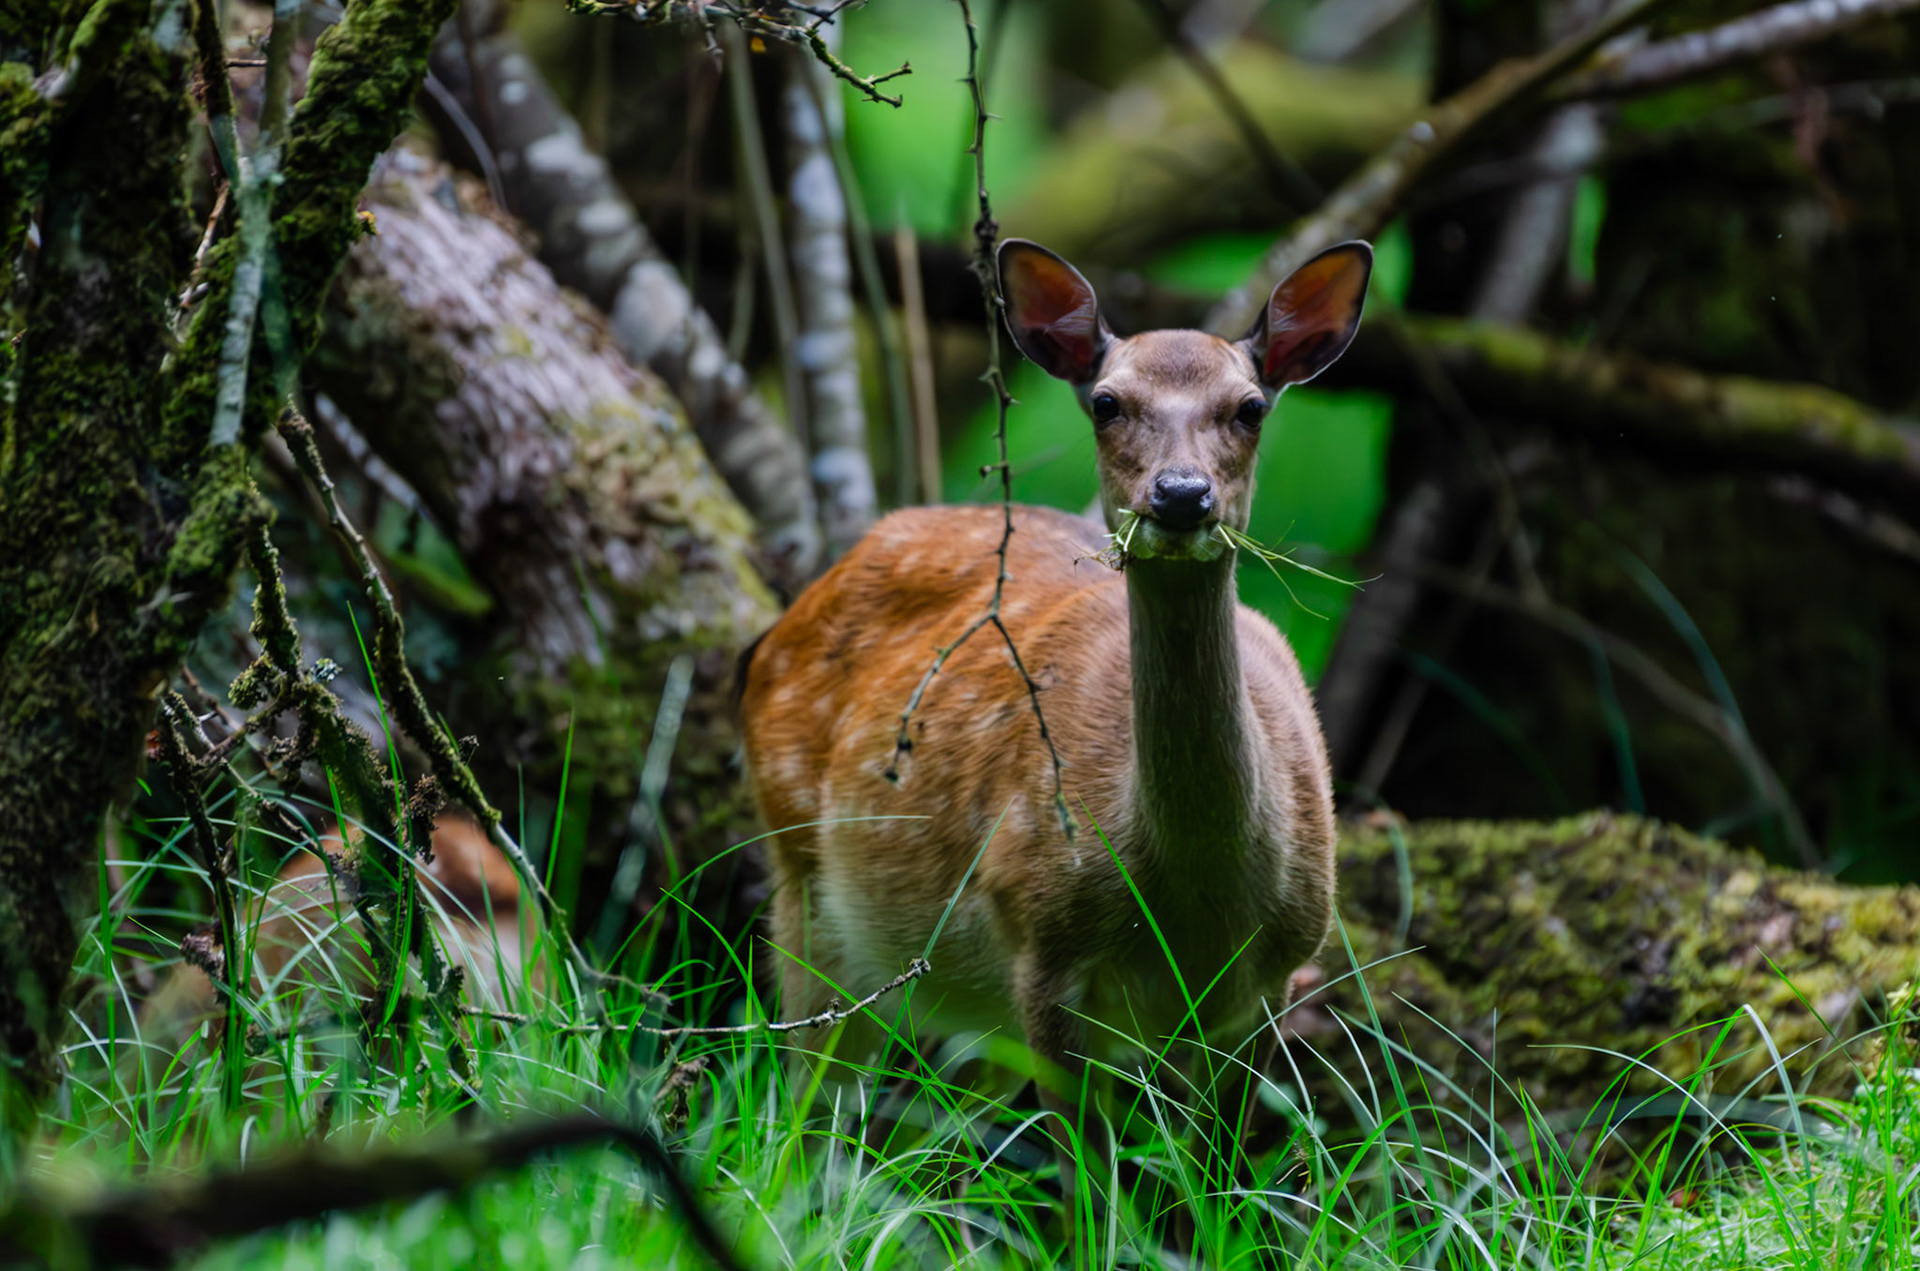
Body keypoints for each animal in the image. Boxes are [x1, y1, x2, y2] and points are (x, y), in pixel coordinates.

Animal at [737, 236, 1370, 1176]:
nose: (1181, 494)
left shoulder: (1270, 978)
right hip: (805, 879)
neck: (1194, 903)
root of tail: (779, 626)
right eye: (1107, 402)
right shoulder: (1044, 944)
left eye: (1251, 407)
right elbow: (1088, 1183)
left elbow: (1215, 1180)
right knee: (806, 1115)